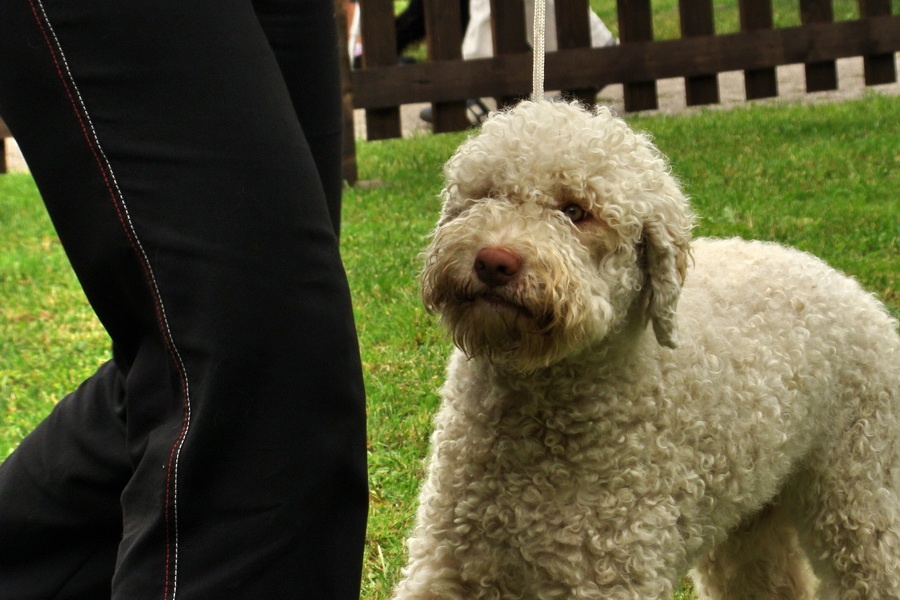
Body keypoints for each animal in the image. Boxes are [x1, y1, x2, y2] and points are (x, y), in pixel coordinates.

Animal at [392, 101, 900, 596]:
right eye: (485, 195)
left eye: (576, 210)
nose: (494, 262)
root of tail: (854, 290)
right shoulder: (447, 561)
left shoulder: (609, 573)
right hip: (753, 517)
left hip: (860, 493)